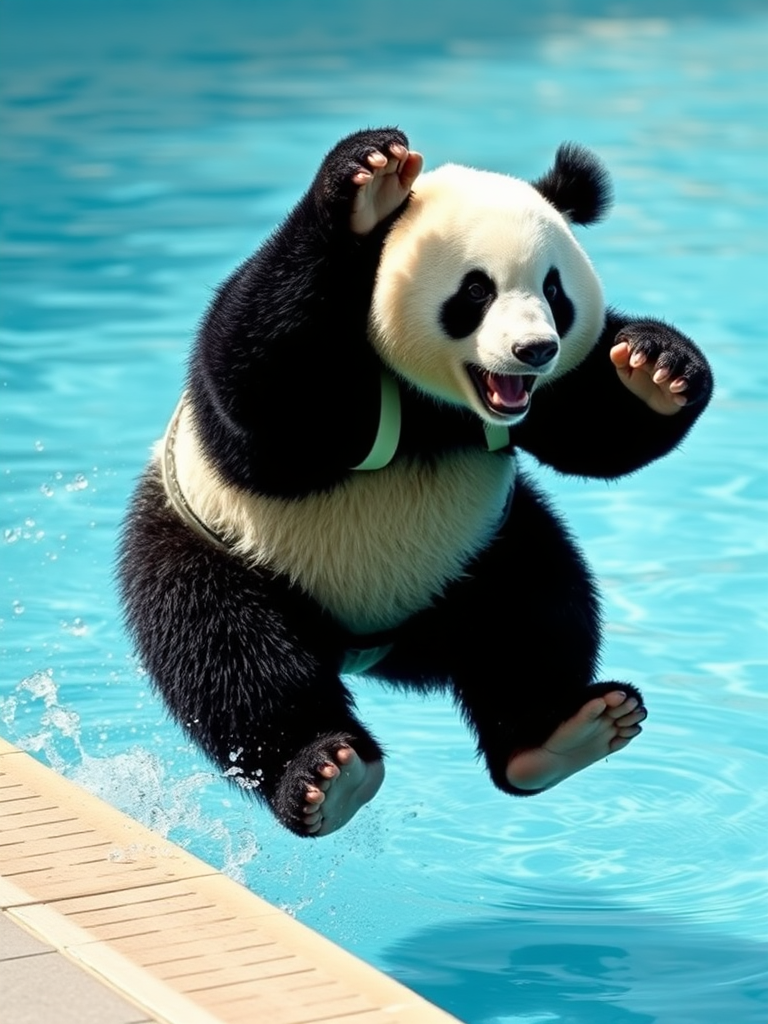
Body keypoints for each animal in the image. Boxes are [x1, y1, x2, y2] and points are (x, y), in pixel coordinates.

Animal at [117, 123, 712, 835]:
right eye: (476, 291)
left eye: (554, 293)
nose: (534, 351)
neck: (438, 405)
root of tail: (376, 650)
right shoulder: (297, 383)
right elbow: (259, 386)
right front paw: (366, 178)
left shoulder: (542, 399)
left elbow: (595, 434)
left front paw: (657, 367)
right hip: (216, 545)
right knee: (225, 651)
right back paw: (323, 772)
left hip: (480, 550)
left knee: (537, 606)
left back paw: (557, 735)